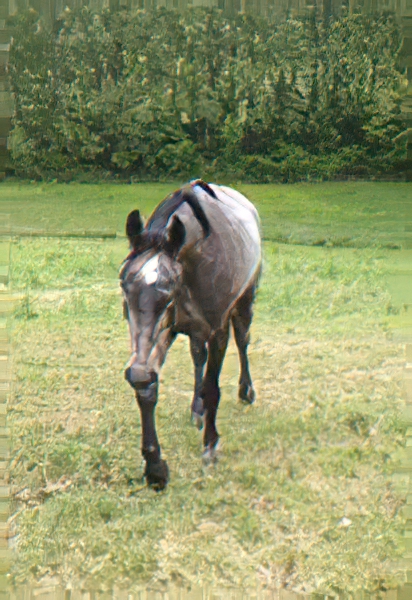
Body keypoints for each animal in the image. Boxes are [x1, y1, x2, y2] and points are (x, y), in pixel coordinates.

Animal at [119, 178, 260, 488]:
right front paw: (155, 467)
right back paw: (197, 409)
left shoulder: (218, 331)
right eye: (124, 284)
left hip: (245, 300)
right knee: (198, 356)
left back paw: (246, 392)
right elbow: (147, 384)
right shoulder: (165, 331)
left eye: (168, 288)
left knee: (243, 341)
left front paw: (210, 446)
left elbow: (213, 387)